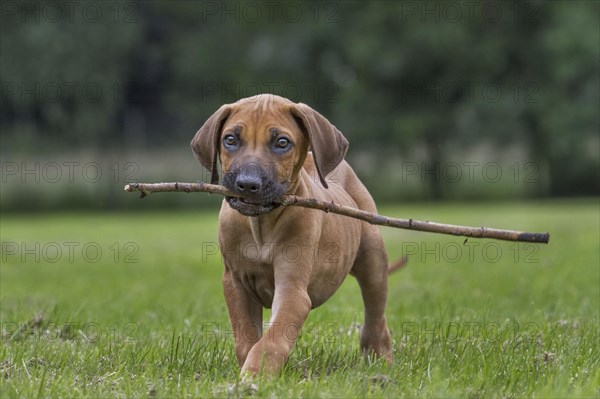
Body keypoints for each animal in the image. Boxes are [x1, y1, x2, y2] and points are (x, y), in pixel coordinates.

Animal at [192, 95, 398, 376]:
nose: (247, 184)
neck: (261, 226)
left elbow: (271, 341)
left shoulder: (292, 290)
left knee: (376, 314)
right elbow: (247, 339)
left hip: (373, 260)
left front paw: (254, 376)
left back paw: (380, 358)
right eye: (230, 139)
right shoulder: (235, 283)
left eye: (282, 143)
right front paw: (251, 369)